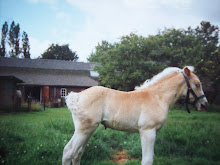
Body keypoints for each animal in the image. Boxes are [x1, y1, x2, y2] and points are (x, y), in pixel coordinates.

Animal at [62, 66, 208, 165]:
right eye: (197, 84)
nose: (204, 104)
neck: (158, 97)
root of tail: (77, 96)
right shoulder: (148, 131)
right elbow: (147, 160)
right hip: (84, 129)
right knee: (68, 152)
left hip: (89, 130)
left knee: (77, 154)